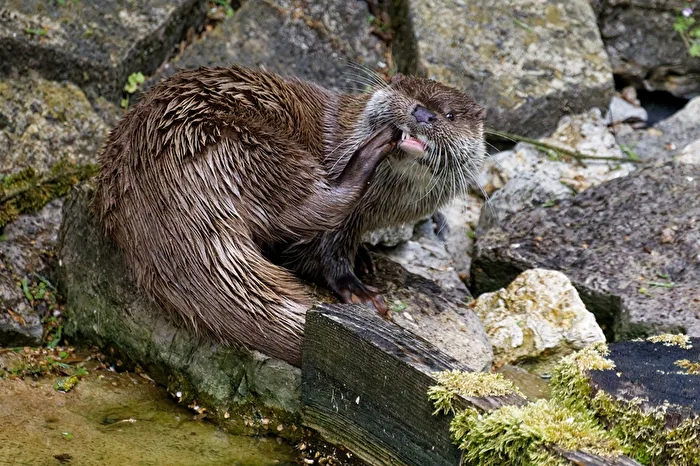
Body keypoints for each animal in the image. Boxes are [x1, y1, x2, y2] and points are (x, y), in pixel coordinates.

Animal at [94, 64, 486, 366]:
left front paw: (365, 257)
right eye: (407, 92)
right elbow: (323, 252)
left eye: (449, 115)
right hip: (246, 144)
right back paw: (371, 152)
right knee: (312, 203)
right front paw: (356, 289)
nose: (422, 113)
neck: (381, 208)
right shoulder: (342, 220)